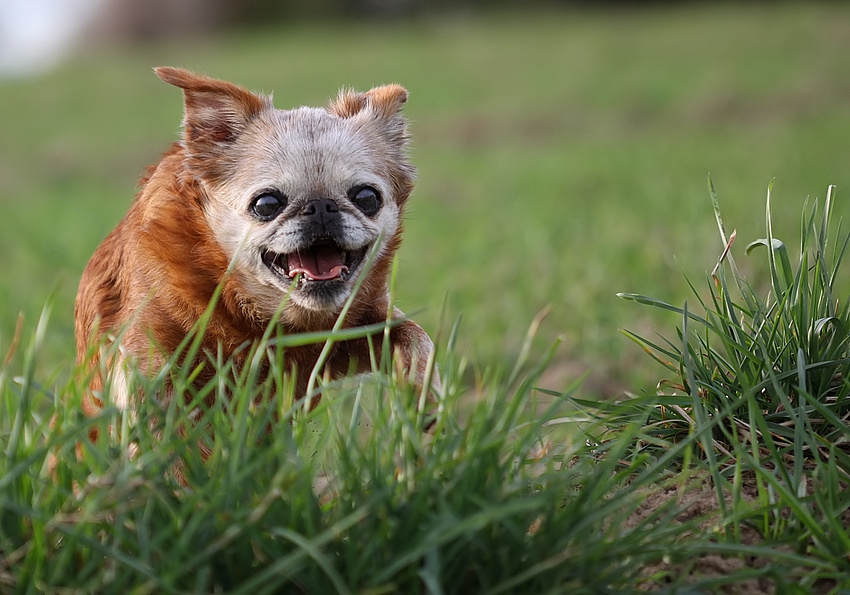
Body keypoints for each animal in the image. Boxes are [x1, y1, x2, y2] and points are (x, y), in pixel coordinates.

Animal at [74, 67, 438, 438]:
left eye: (367, 198)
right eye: (266, 204)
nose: (321, 206)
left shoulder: (357, 328)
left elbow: (414, 335)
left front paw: (421, 396)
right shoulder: (149, 351)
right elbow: (155, 412)